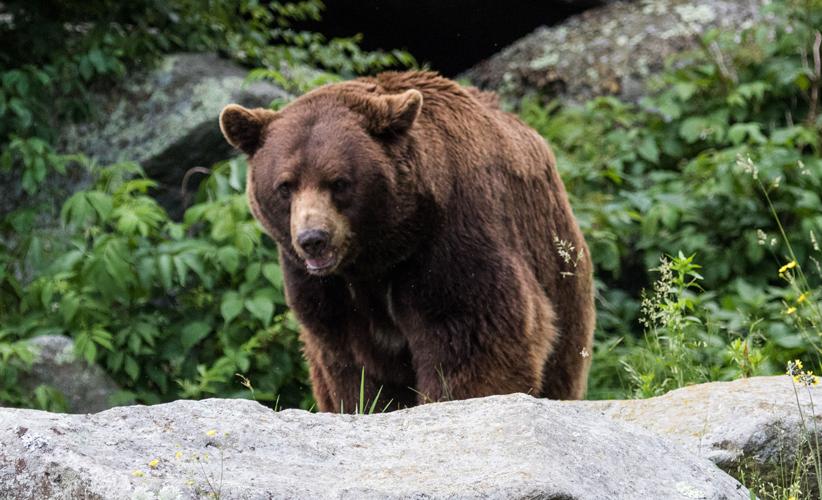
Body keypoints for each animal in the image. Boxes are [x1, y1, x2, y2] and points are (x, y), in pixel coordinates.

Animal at [219, 71, 594, 412]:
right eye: (285, 186)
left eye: (339, 182)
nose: (313, 239)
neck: (381, 251)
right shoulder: (323, 290)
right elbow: (350, 365)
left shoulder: (449, 239)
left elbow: (473, 333)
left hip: (559, 270)